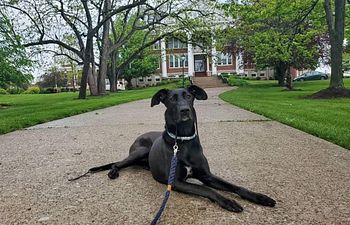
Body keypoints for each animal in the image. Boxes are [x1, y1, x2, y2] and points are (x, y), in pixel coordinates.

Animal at [86, 85, 274, 212]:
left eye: (189, 96)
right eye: (171, 99)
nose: (185, 110)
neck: (183, 141)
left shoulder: (207, 175)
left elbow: (234, 186)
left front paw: (259, 197)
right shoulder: (175, 182)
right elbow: (205, 189)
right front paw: (228, 201)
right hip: (140, 151)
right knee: (117, 163)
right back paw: (113, 172)